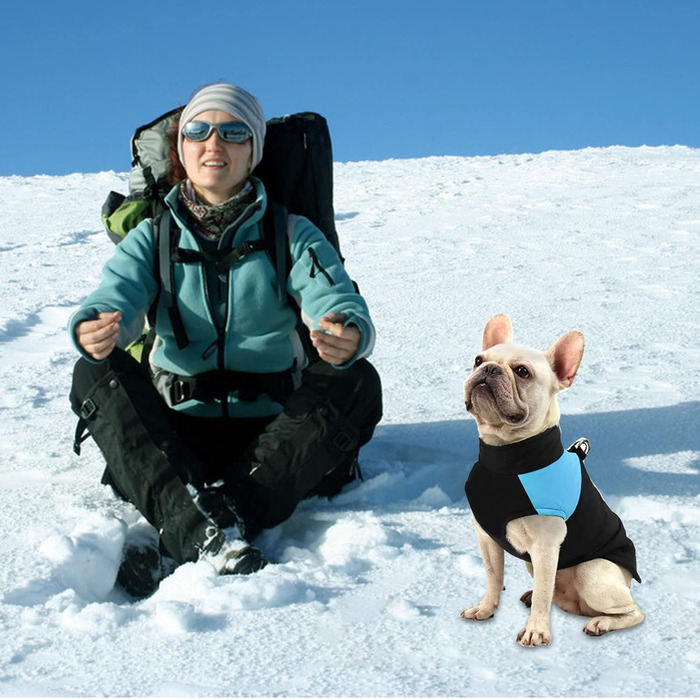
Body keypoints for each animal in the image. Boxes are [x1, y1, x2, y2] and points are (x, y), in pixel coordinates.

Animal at [462, 316, 644, 644]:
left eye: (522, 372)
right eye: (478, 361)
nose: (489, 370)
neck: (506, 456)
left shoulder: (546, 547)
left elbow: (543, 595)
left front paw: (536, 631)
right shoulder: (487, 539)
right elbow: (494, 577)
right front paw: (486, 608)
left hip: (591, 573)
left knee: (632, 611)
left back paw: (601, 622)